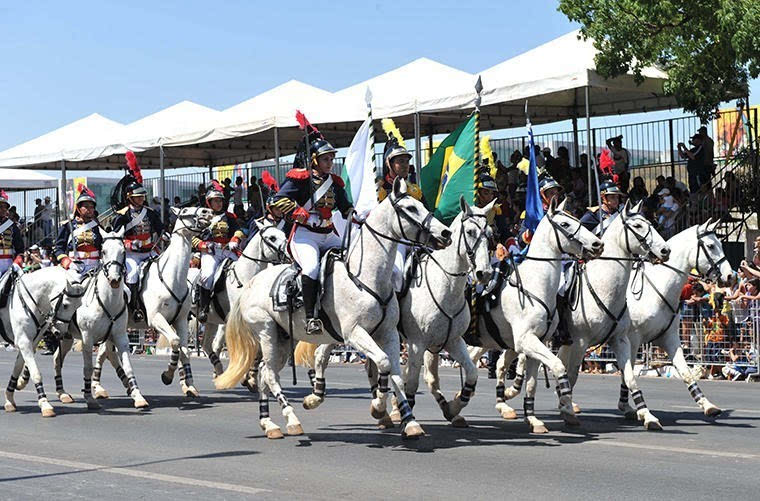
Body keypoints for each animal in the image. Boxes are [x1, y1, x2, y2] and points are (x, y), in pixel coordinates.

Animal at [1, 268, 86, 416]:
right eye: (65, 305)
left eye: (79, 305)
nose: (61, 332)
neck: (28, 300)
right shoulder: (24, 342)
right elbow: (36, 373)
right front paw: (44, 403)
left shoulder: (29, 342)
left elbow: (18, 367)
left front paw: (9, 399)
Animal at [214, 179, 452, 438]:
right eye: (410, 208)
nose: (446, 233)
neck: (366, 277)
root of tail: (251, 283)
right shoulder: (355, 334)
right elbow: (383, 363)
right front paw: (379, 407)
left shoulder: (388, 333)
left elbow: (396, 375)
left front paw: (409, 421)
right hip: (266, 333)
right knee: (269, 375)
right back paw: (290, 420)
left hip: (284, 339)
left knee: (266, 375)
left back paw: (269, 423)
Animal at [430, 197, 604, 432]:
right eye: (565, 224)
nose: (597, 244)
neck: (535, 286)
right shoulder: (526, 341)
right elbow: (559, 366)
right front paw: (567, 408)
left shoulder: (537, 342)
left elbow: (531, 383)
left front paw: (533, 418)